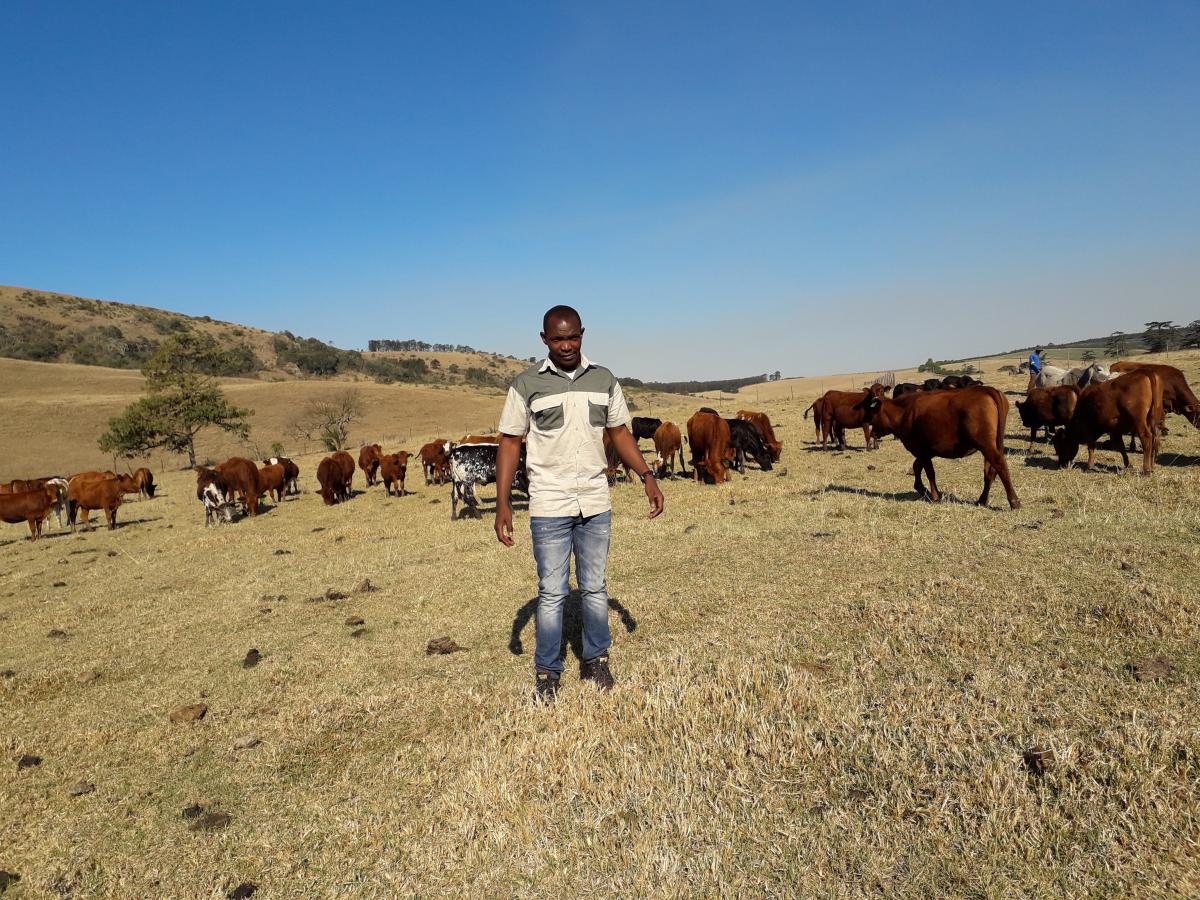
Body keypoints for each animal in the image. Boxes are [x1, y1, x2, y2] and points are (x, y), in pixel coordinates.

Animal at [854, 384, 1022, 511]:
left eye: (873, 414)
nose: (872, 433)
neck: (904, 412)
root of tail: (986, 389)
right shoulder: (926, 451)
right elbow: (917, 467)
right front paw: (922, 489)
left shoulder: (921, 449)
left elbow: (929, 472)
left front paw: (934, 496)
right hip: (992, 445)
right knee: (990, 472)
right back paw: (982, 500)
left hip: (986, 445)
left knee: (1000, 466)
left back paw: (1014, 502)